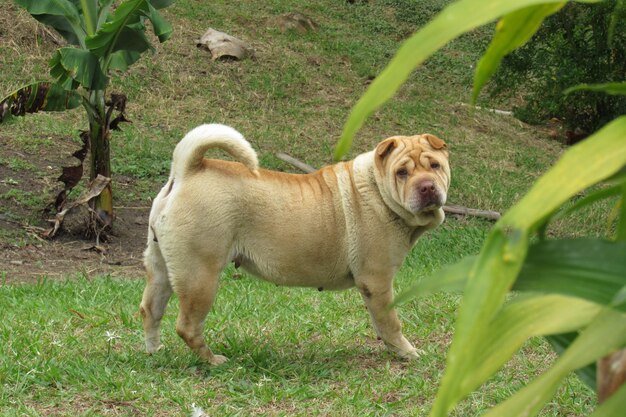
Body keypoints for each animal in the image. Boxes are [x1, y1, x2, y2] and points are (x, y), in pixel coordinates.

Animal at [140, 123, 448, 364]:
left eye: (435, 166)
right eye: (402, 173)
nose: (427, 186)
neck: (377, 189)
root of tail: (187, 170)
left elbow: (380, 323)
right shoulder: (378, 281)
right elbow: (391, 322)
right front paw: (407, 352)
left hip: (162, 268)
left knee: (150, 309)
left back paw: (155, 351)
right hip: (200, 277)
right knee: (188, 326)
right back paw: (213, 360)